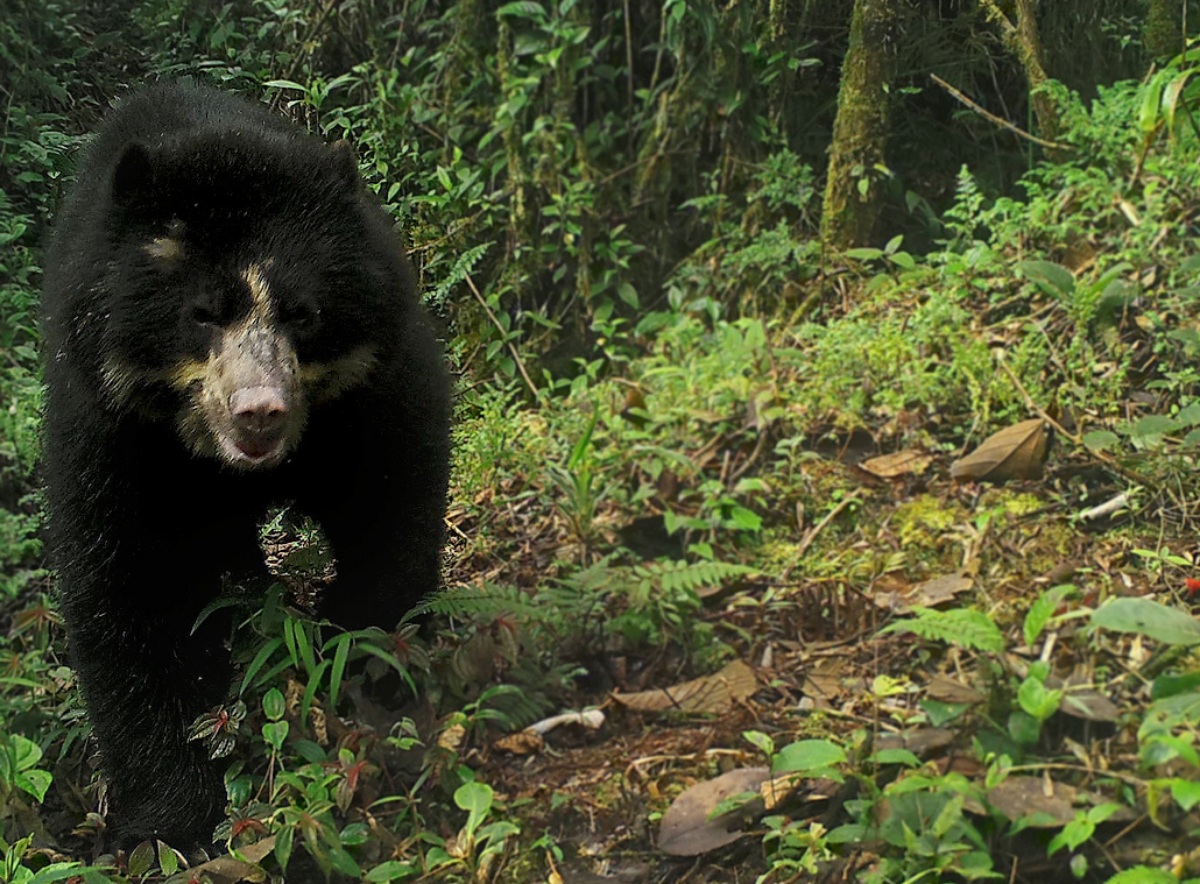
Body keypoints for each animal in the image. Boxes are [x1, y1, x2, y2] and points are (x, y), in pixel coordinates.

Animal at [42, 82, 451, 849]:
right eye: (203, 313)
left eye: (303, 313)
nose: (260, 413)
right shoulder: (111, 430)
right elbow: (130, 591)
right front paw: (167, 823)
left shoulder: (365, 392)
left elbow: (389, 505)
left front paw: (363, 664)